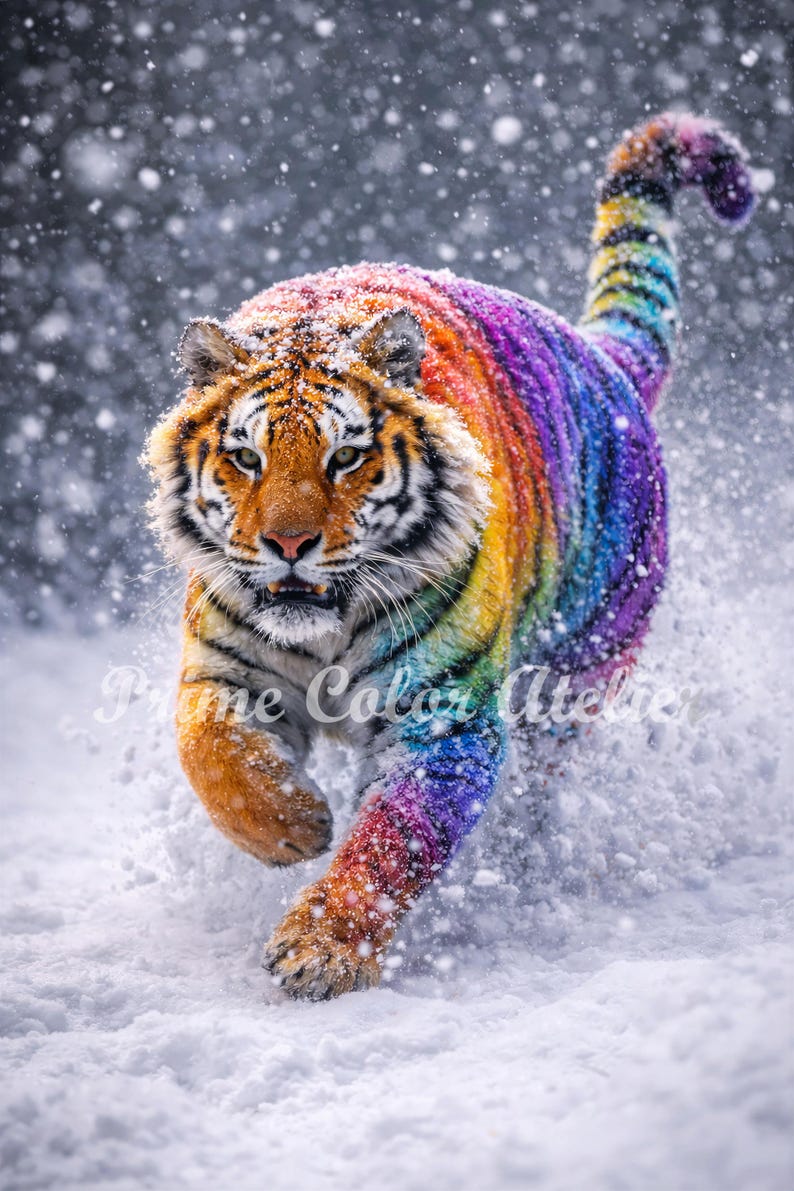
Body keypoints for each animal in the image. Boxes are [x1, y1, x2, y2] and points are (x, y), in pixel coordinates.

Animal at [145, 113, 755, 1000]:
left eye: (344, 458)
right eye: (246, 458)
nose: (287, 544)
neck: (325, 630)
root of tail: (603, 358)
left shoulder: (442, 714)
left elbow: (390, 841)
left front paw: (320, 950)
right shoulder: (226, 668)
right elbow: (213, 752)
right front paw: (293, 826)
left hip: (577, 672)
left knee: (537, 790)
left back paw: (517, 872)